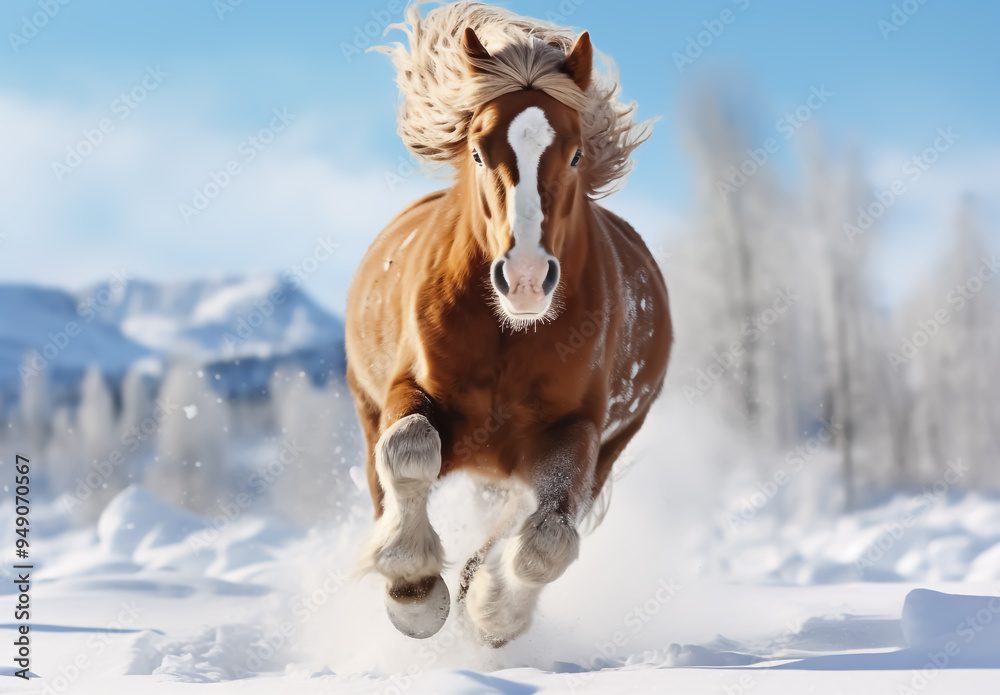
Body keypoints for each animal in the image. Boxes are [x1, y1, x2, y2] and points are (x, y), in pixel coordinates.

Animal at [346, 1, 672, 646]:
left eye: (575, 153)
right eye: (477, 152)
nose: (524, 278)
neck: (508, 337)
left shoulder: (576, 429)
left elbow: (547, 539)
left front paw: (494, 614)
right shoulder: (409, 390)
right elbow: (410, 450)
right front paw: (414, 591)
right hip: (369, 410)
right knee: (383, 484)